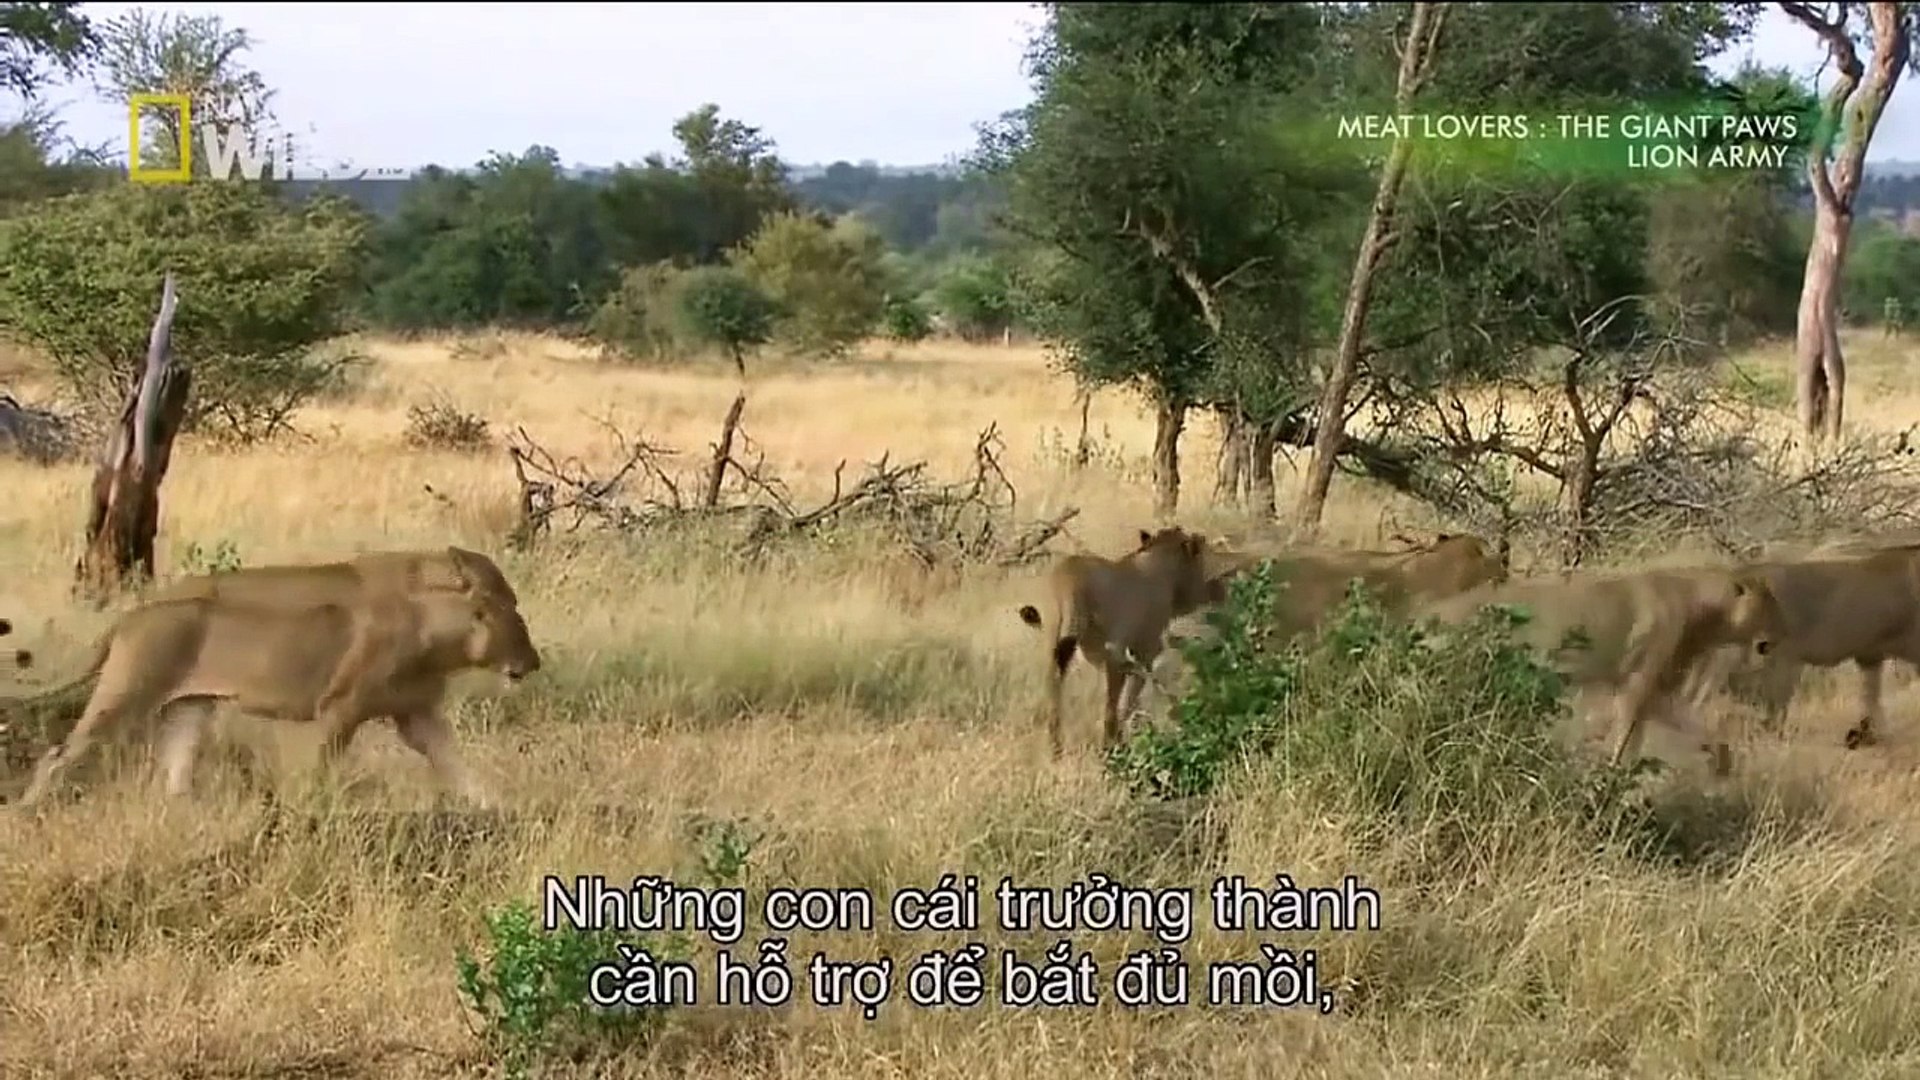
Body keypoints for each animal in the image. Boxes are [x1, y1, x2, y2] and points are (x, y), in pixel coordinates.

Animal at [15, 545, 541, 807]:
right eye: (511, 610)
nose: (532, 662)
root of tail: (132, 615)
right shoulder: (339, 710)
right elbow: (314, 773)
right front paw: (302, 817)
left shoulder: (417, 714)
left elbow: (457, 766)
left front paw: (499, 808)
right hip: (128, 693)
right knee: (58, 755)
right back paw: (26, 811)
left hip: (189, 708)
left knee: (175, 771)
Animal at [1021, 526, 1228, 753]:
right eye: (1201, 558)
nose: (1221, 591)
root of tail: (1066, 575)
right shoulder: (1142, 653)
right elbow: (1127, 701)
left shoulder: (1110, 659)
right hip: (1109, 653)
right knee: (1110, 707)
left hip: (1054, 650)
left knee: (1054, 703)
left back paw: (1056, 750)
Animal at [1420, 564, 1774, 772]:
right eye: (1771, 604)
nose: (1778, 635)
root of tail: (1429, 612)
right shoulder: (1635, 689)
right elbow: (1623, 742)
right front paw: (1609, 783)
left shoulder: (1656, 695)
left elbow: (1701, 729)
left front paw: (1724, 761)